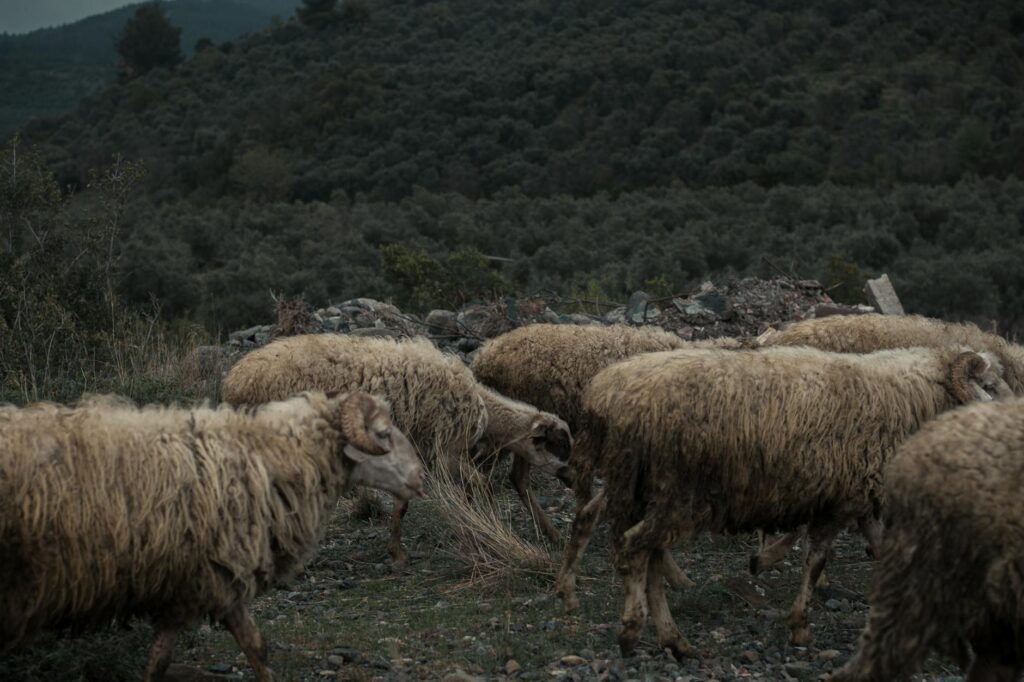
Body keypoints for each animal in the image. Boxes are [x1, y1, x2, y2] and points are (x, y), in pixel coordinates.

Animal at [0, 390, 424, 682]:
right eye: (384, 433)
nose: (420, 476)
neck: (269, 458)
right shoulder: (216, 574)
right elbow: (253, 647)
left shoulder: (192, 583)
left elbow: (169, 660)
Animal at [221, 333, 573, 560]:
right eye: (559, 445)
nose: (572, 478)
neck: (484, 412)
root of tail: (234, 381)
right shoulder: (445, 450)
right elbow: (480, 484)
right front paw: (485, 523)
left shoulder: (418, 451)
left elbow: (404, 504)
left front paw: (396, 550)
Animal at [587, 345, 1011, 656]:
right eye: (990, 384)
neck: (911, 399)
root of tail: (609, 393)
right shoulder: (841, 502)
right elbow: (815, 560)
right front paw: (800, 625)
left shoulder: (855, 499)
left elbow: (877, 549)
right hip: (676, 493)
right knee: (635, 549)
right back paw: (633, 631)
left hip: (648, 494)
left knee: (650, 556)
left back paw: (673, 639)